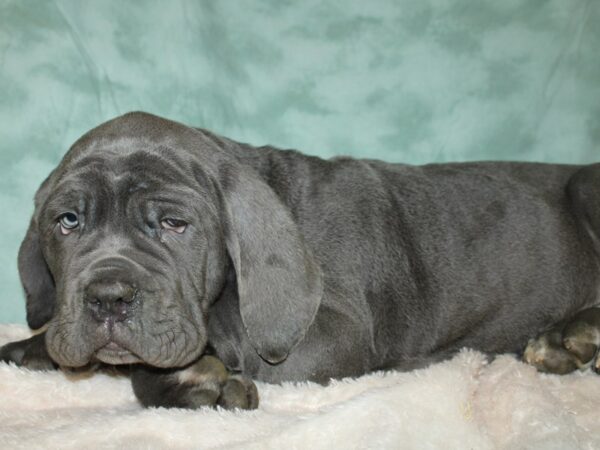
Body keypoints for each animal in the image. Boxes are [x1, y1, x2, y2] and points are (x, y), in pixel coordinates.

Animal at [1, 111, 600, 408]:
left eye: (174, 224)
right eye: (67, 221)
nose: (108, 299)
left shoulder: (333, 337)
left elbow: (224, 348)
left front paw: (195, 382)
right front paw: (33, 347)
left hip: (587, 187)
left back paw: (571, 336)